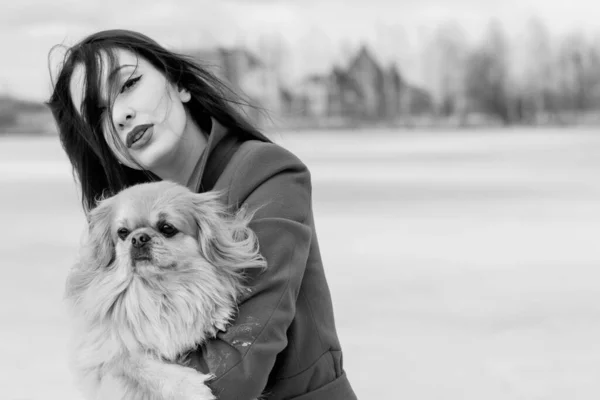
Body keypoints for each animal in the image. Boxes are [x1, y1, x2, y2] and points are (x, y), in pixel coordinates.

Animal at [63, 182, 268, 400]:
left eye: (167, 228)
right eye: (123, 232)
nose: (138, 238)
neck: (158, 289)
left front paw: (215, 315)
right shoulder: (103, 354)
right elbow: (139, 364)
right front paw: (194, 390)